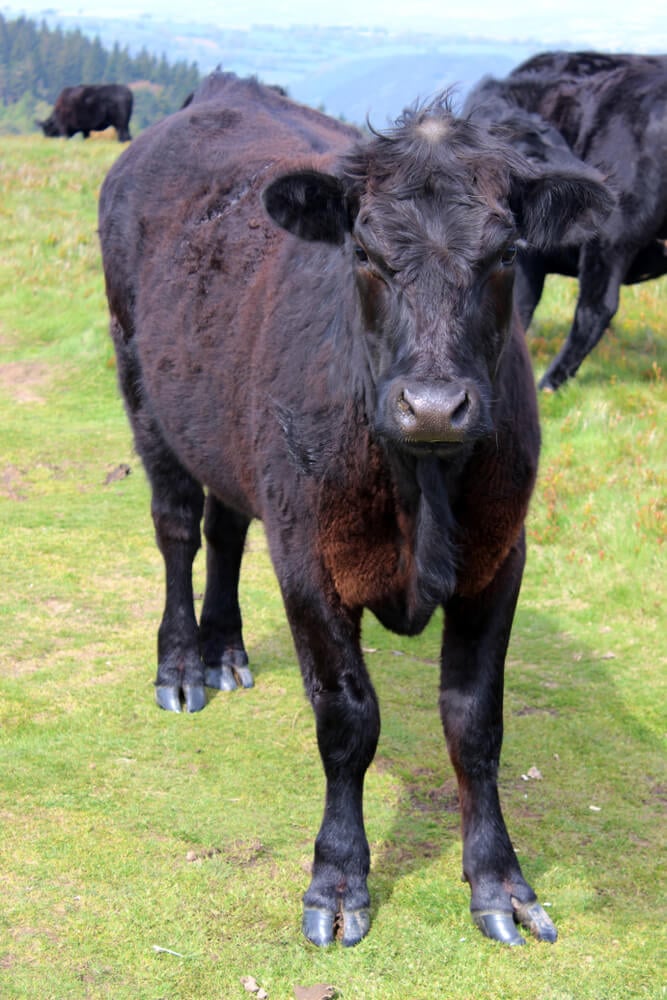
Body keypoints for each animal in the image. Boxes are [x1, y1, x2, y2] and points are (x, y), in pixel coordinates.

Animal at [98, 72, 611, 948]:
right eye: (365, 254)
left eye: (506, 253)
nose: (433, 406)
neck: (420, 487)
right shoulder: (309, 559)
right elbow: (346, 720)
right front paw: (337, 881)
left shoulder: (499, 556)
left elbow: (474, 723)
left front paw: (499, 881)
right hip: (142, 384)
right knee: (176, 528)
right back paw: (181, 666)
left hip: (234, 438)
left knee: (225, 527)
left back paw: (224, 650)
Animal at [465, 54, 667, 389]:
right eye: (532, 157)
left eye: (562, 143)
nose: (597, 180)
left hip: (613, 237)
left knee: (595, 309)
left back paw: (549, 381)